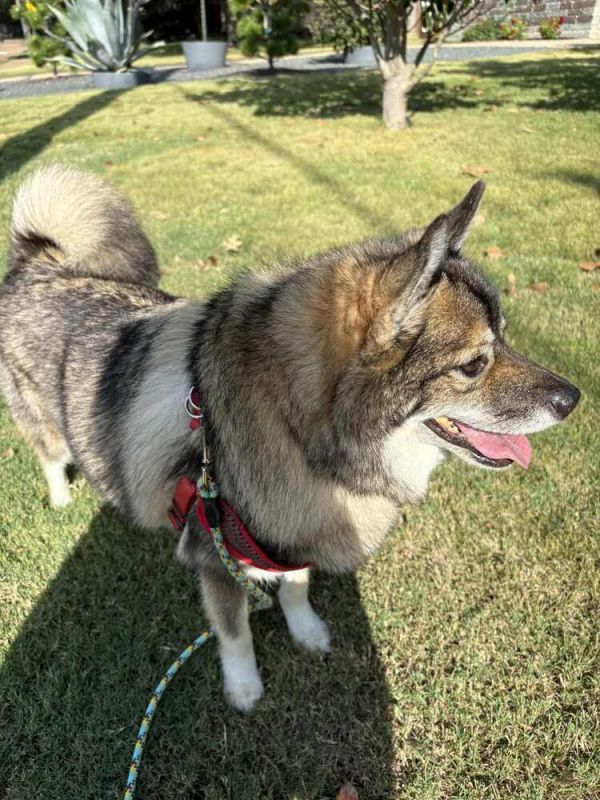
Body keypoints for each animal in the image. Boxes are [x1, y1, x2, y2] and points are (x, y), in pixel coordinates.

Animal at [0, 165, 579, 711]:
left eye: (505, 338)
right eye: (474, 365)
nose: (573, 398)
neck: (297, 431)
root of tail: (38, 262)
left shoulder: (295, 528)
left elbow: (297, 586)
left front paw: (307, 631)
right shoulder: (215, 557)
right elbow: (235, 632)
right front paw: (244, 687)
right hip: (43, 423)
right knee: (50, 456)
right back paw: (61, 498)